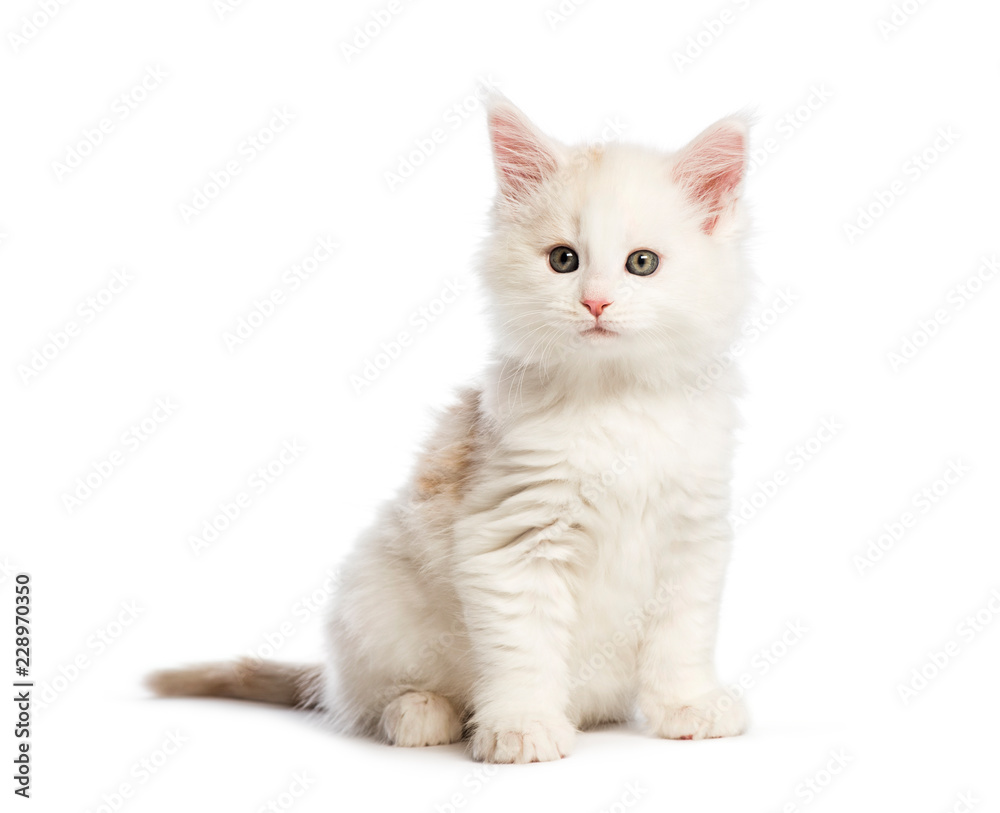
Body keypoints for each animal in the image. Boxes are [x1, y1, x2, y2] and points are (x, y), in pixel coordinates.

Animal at [150, 93, 752, 760]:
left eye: (641, 263)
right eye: (563, 260)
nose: (595, 302)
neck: (617, 400)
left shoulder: (692, 538)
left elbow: (682, 642)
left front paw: (689, 707)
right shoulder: (512, 537)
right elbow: (525, 650)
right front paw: (523, 726)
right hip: (371, 597)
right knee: (369, 700)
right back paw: (420, 714)